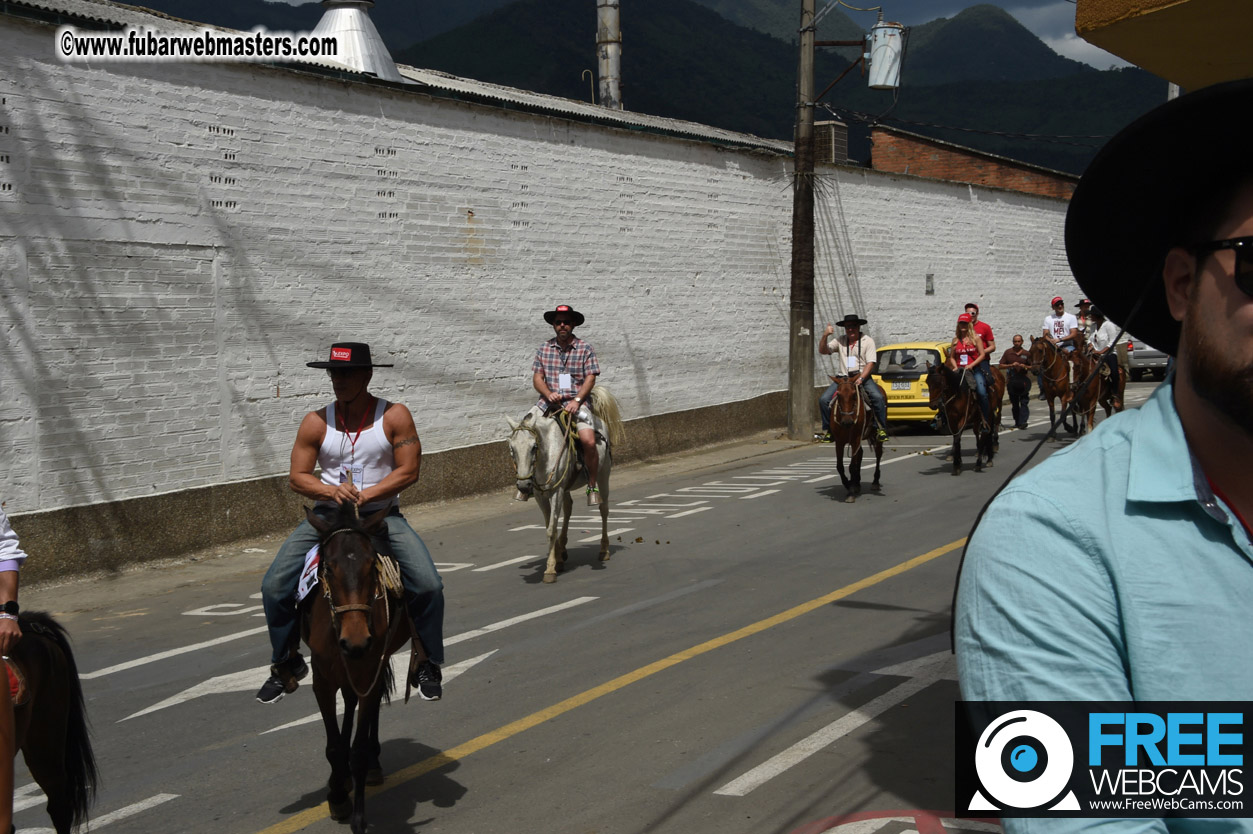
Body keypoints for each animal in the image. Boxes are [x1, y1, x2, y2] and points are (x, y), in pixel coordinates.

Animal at [303, 503, 415, 826]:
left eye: (371, 566)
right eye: (328, 567)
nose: (356, 641)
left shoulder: (369, 672)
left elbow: (359, 751)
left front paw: (357, 816)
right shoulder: (322, 681)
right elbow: (332, 746)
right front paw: (338, 796)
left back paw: (372, 766)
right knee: (349, 702)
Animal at [506, 385, 623, 581]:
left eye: (534, 447)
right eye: (511, 449)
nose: (523, 486)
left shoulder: (556, 491)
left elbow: (551, 528)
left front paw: (550, 569)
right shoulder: (541, 495)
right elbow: (549, 525)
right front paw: (558, 558)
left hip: (603, 475)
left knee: (604, 509)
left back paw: (604, 549)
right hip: (566, 487)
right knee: (568, 508)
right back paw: (563, 548)